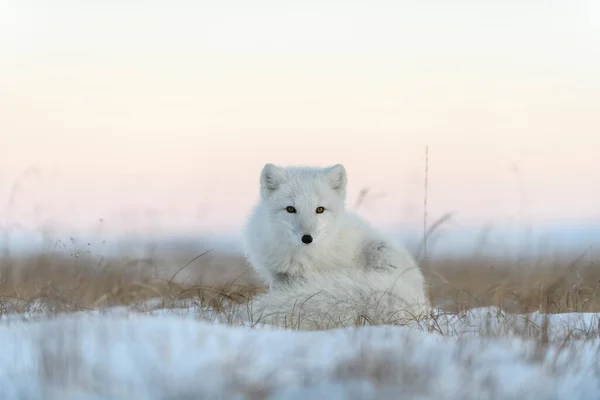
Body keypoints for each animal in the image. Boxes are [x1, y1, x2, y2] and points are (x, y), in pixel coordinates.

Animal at [241, 164, 428, 330]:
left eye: (320, 209)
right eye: (290, 209)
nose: (307, 238)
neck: (302, 260)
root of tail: (416, 291)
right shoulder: (278, 276)